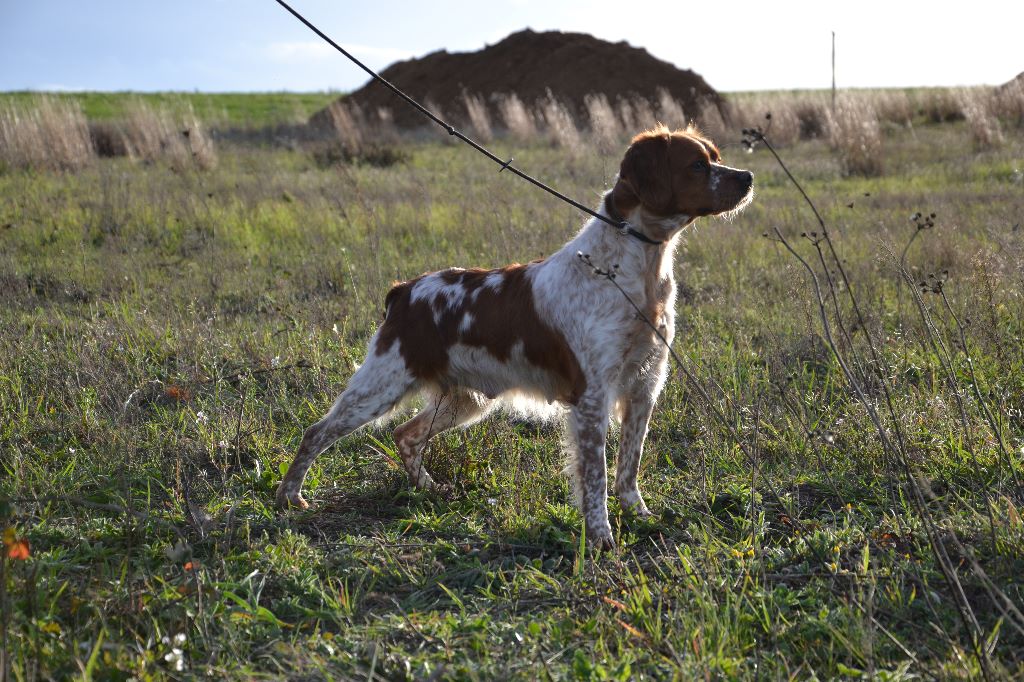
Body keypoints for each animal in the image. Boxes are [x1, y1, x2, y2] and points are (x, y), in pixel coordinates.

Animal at [278, 123, 753, 548]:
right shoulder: (592, 397)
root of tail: (404, 291)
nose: (747, 177)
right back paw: (290, 496)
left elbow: (627, 469)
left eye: (715, 156)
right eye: (696, 164)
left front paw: (640, 516)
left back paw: (428, 489)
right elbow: (595, 479)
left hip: (464, 400)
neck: (636, 271)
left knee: (406, 435)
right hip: (381, 385)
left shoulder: (644, 387)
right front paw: (602, 537)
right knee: (316, 432)